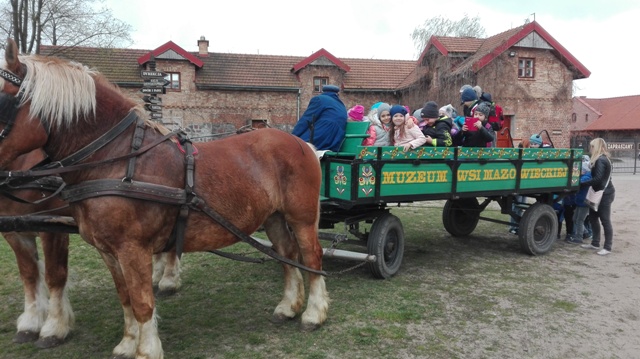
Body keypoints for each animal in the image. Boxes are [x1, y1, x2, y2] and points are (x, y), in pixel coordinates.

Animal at [0, 38, 328, 358]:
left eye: (2, 100)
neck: (118, 159)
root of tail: (302, 143)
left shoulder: (132, 248)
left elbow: (141, 301)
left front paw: (146, 349)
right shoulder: (108, 250)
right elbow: (125, 297)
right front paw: (127, 343)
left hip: (301, 218)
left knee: (311, 256)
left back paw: (313, 313)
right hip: (273, 217)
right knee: (287, 254)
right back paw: (288, 307)